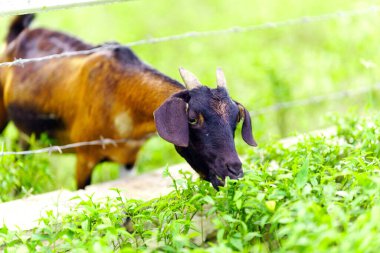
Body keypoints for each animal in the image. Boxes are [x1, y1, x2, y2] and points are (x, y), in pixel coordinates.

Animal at [0, 14, 256, 190]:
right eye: (192, 119)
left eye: (236, 119)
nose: (234, 172)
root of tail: (19, 34)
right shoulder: (84, 158)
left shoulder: (129, 160)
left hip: (27, 132)